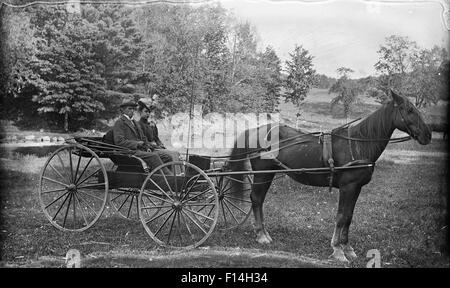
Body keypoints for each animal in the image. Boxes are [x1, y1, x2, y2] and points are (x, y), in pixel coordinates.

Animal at [229, 90, 432, 264]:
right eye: (409, 110)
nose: (428, 135)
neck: (358, 144)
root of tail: (254, 130)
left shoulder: (356, 188)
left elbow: (349, 217)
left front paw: (348, 248)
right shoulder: (348, 187)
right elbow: (341, 216)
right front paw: (338, 250)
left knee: (258, 200)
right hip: (263, 174)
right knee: (256, 199)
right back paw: (261, 235)